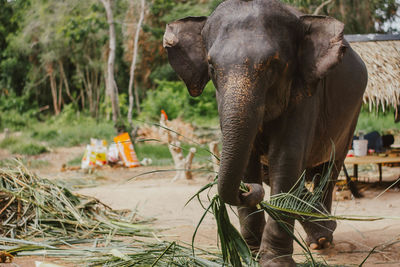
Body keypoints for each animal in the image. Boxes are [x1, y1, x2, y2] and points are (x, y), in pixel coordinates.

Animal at [163, 1, 368, 266]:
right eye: (211, 66)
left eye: (274, 64)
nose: (248, 190)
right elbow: (250, 160)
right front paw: (249, 254)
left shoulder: (304, 94)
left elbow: (286, 159)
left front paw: (274, 261)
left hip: (352, 116)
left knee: (328, 171)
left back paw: (322, 237)